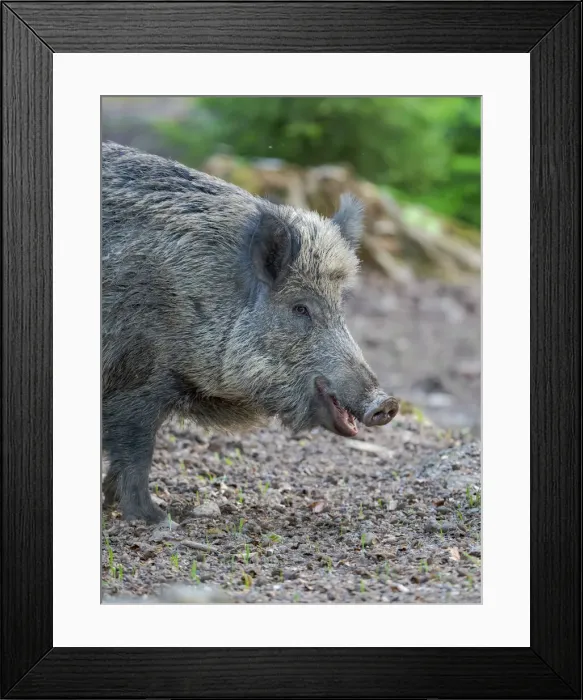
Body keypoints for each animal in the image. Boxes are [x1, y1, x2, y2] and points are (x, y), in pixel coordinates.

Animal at [101, 141, 399, 523]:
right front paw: (157, 518)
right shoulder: (135, 381)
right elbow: (137, 453)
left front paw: (112, 504)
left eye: (340, 305)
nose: (386, 403)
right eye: (300, 308)